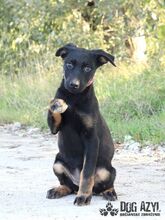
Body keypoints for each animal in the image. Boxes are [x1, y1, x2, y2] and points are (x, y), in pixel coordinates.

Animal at [46, 43, 117, 205]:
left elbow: (87, 173)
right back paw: (58, 190)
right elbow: (53, 110)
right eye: (69, 64)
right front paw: (56, 105)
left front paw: (83, 196)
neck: (74, 98)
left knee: (105, 184)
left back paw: (108, 192)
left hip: (107, 170)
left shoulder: (91, 139)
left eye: (87, 68)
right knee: (67, 185)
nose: (74, 85)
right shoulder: (55, 128)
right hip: (57, 163)